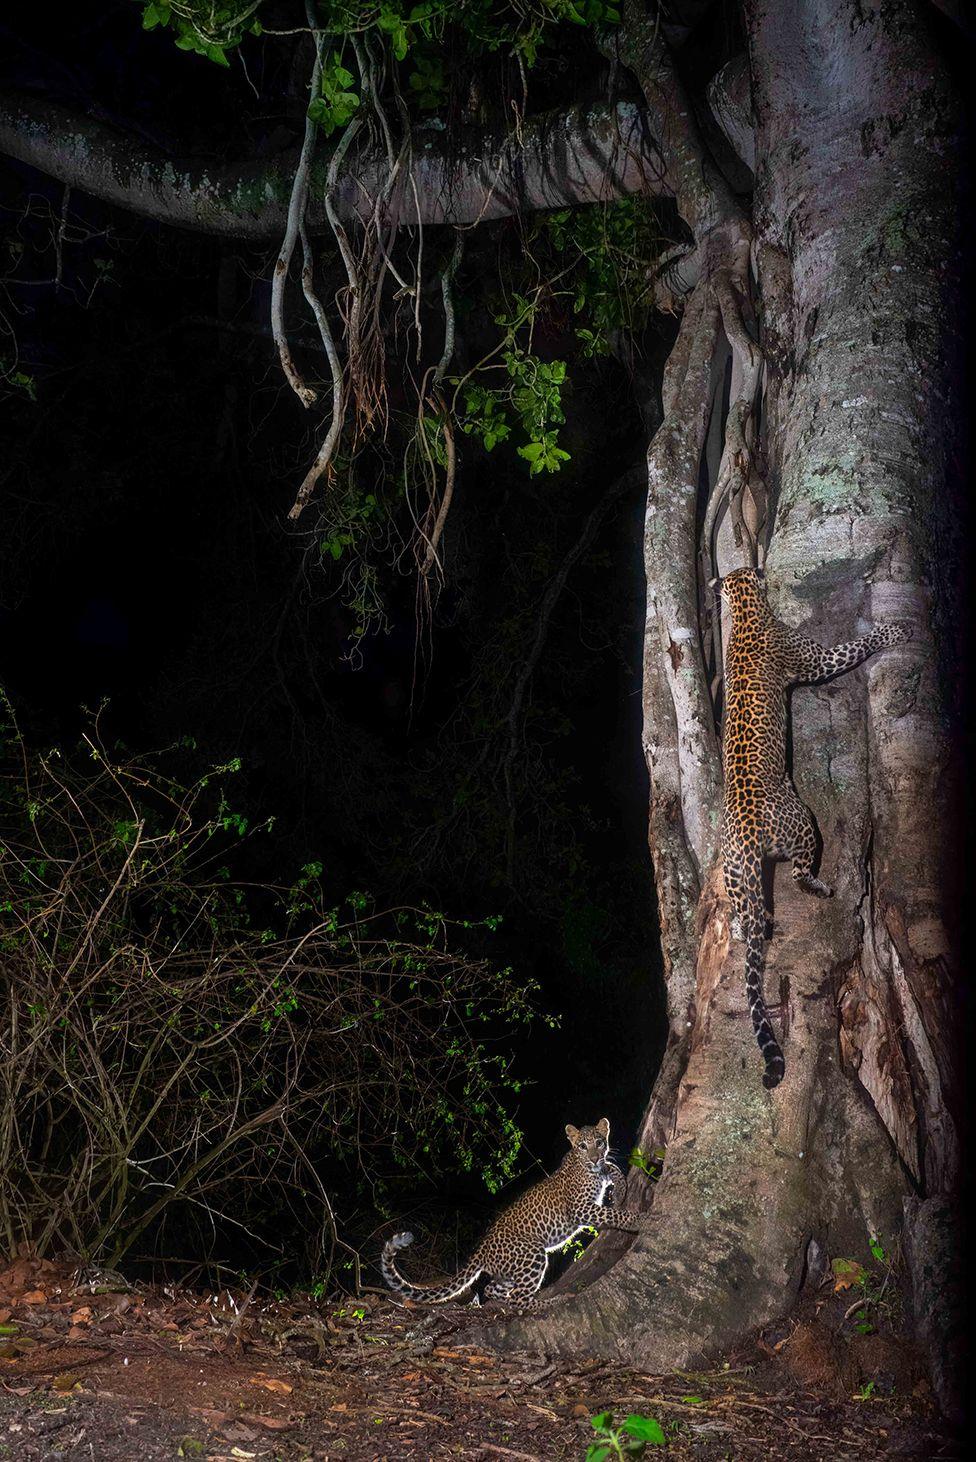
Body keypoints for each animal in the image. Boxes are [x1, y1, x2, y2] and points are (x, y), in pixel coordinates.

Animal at [379, 1116, 648, 1315]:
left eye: (600, 1142)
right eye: (583, 1146)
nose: (594, 1158)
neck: (584, 1167)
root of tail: (482, 1249)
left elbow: (612, 1168)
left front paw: (620, 1188)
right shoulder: (581, 1208)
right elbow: (613, 1214)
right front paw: (638, 1220)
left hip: (510, 1270)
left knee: (492, 1289)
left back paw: (503, 1300)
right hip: (532, 1253)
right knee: (520, 1297)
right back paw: (553, 1301)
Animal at [715, 564, 917, 1093]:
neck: (745, 610)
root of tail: (746, 835)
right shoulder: (818, 658)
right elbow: (855, 645)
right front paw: (895, 632)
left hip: (731, 870)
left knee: (746, 914)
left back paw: (745, 927)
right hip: (804, 825)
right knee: (798, 875)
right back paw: (821, 887)